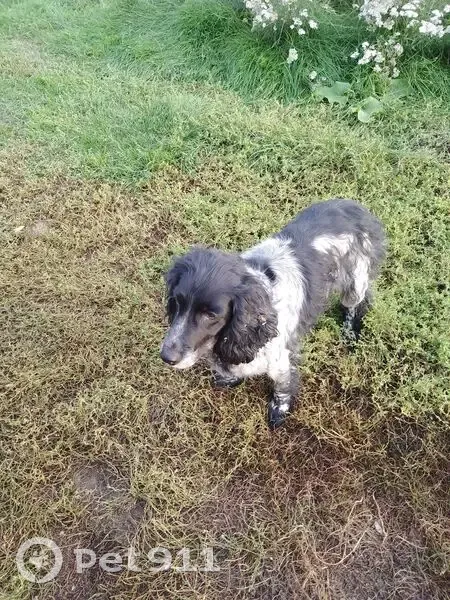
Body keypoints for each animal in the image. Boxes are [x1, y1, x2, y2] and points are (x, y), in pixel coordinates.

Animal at [160, 199, 386, 429]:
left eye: (211, 315)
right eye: (176, 302)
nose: (166, 357)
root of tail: (355, 206)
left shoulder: (281, 359)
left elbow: (282, 387)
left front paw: (279, 410)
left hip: (356, 281)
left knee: (357, 303)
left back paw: (349, 333)